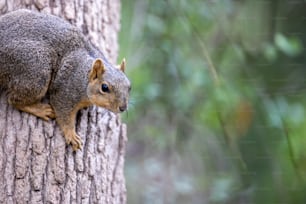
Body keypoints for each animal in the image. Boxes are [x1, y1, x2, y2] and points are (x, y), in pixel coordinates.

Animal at [0, 9, 130, 150]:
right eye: (104, 87)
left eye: (129, 87)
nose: (123, 108)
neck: (83, 77)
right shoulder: (65, 90)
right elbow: (63, 114)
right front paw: (71, 135)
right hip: (36, 70)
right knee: (14, 100)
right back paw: (42, 110)